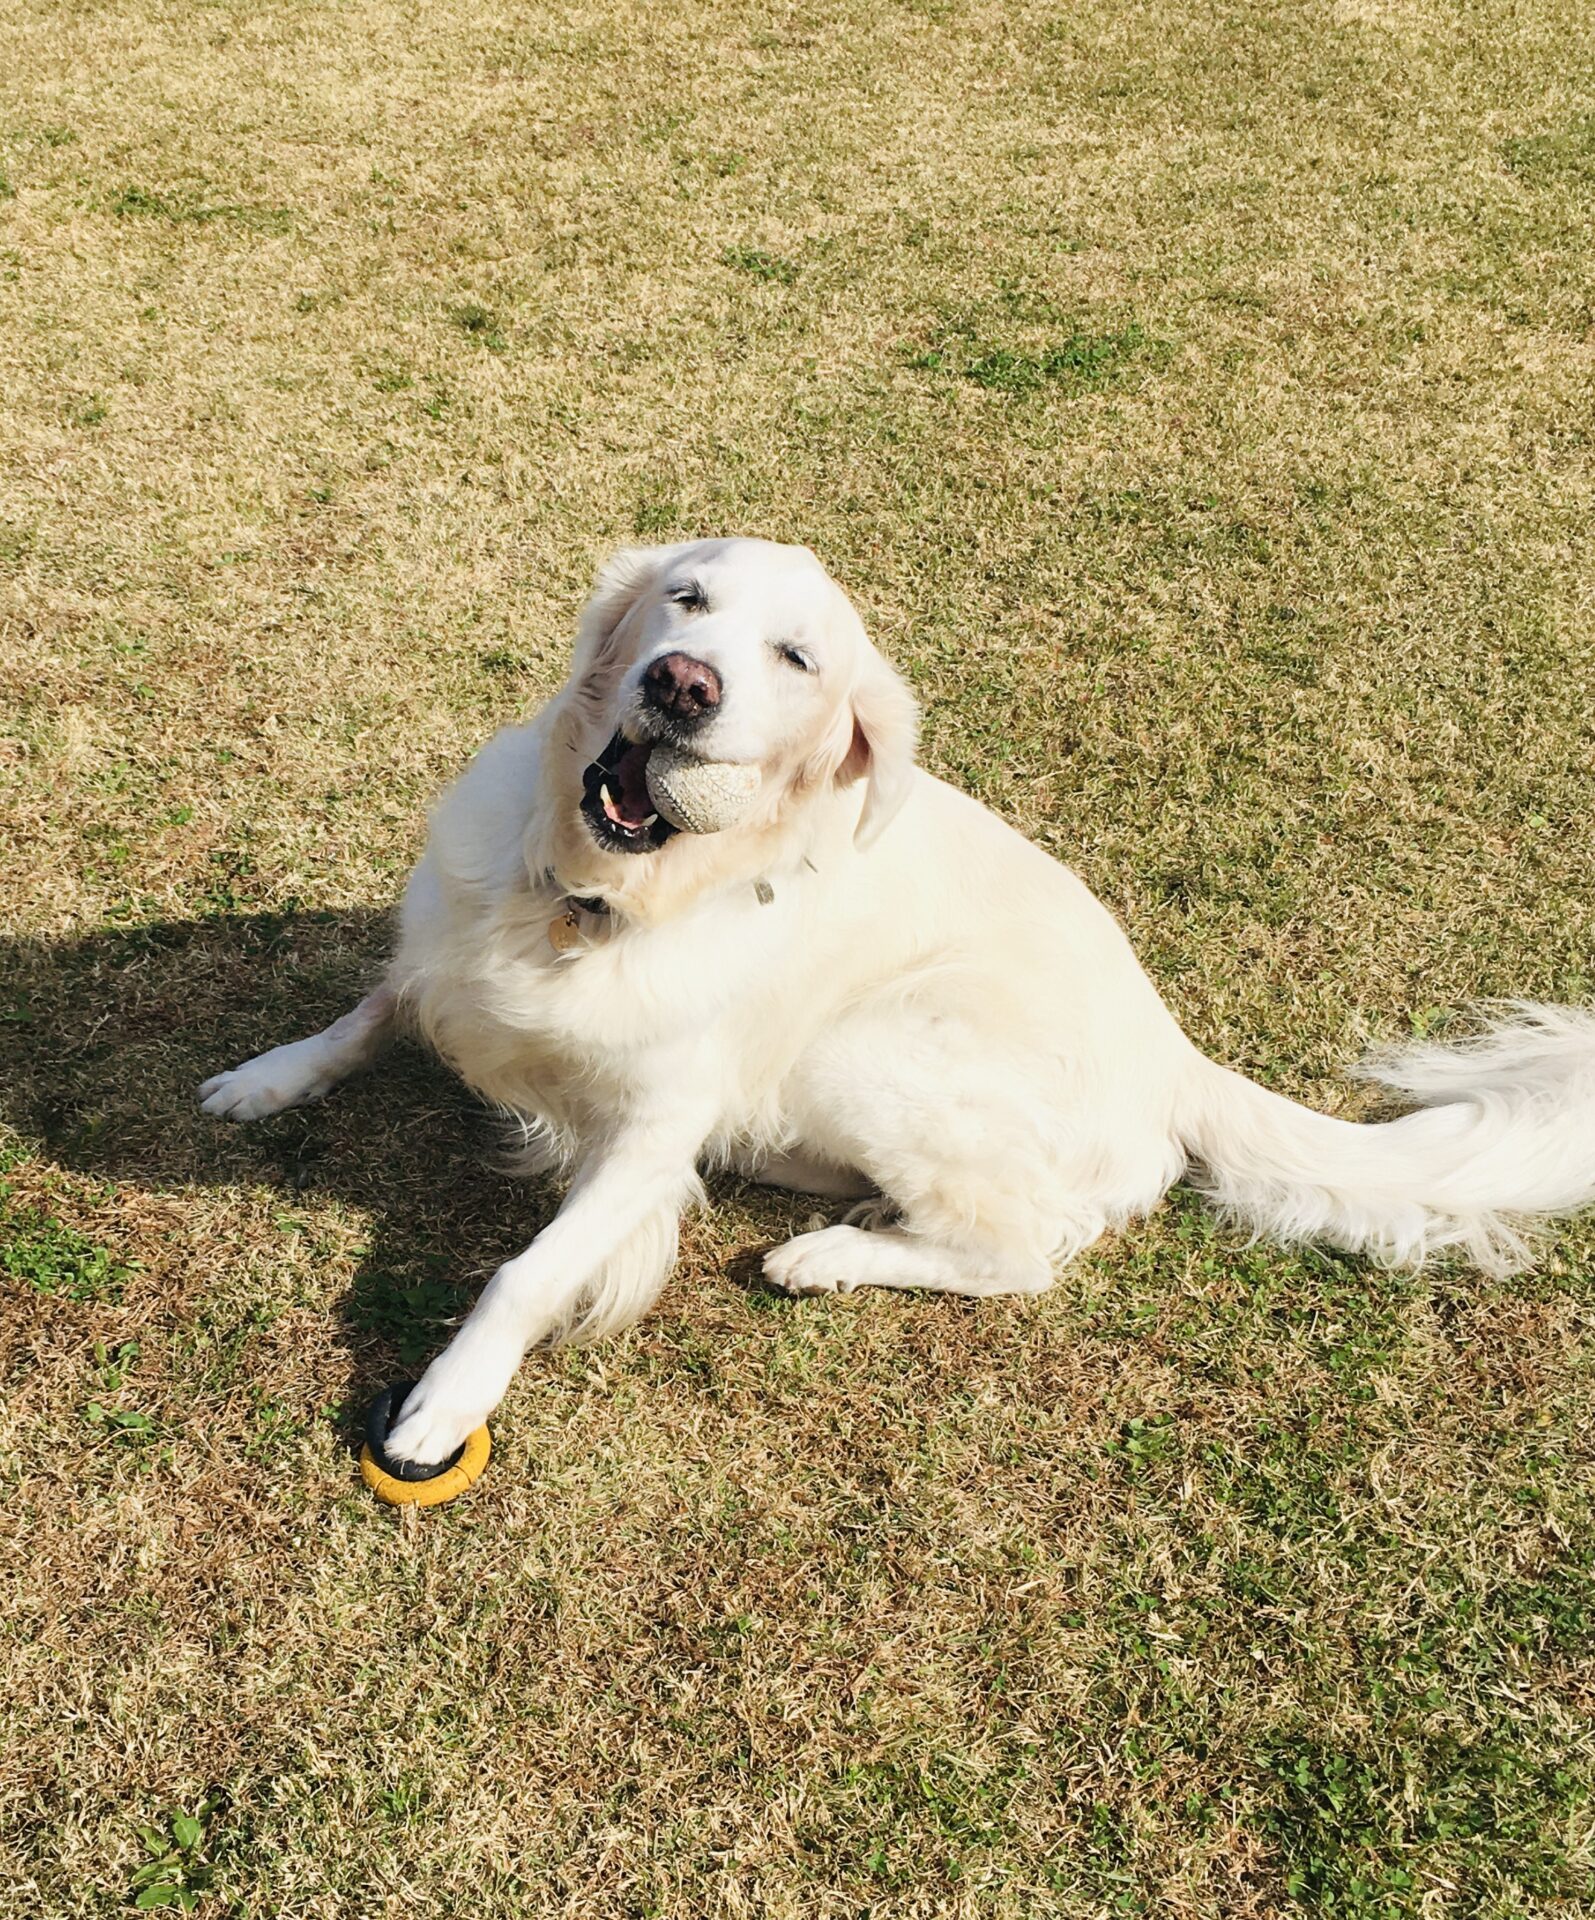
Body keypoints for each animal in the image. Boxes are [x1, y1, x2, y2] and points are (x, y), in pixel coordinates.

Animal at [200, 537, 1595, 1468]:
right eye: (684, 599)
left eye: (794, 658)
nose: (681, 685)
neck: (595, 898)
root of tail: (1177, 1052)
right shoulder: (442, 955)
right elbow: (368, 1012)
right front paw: (265, 1076)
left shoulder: (647, 1139)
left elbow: (523, 1275)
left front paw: (443, 1403)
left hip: (870, 1049)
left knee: (1021, 1252)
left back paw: (829, 1252)